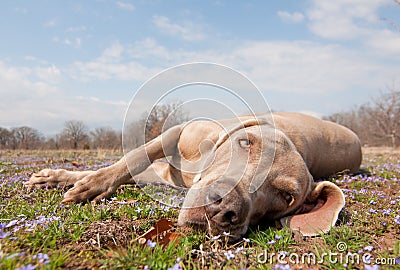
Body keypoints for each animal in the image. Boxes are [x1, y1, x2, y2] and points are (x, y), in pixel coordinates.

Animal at [25, 112, 362, 240]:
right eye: (246, 143)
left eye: (287, 196)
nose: (223, 209)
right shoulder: (177, 133)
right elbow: (132, 159)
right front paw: (71, 181)